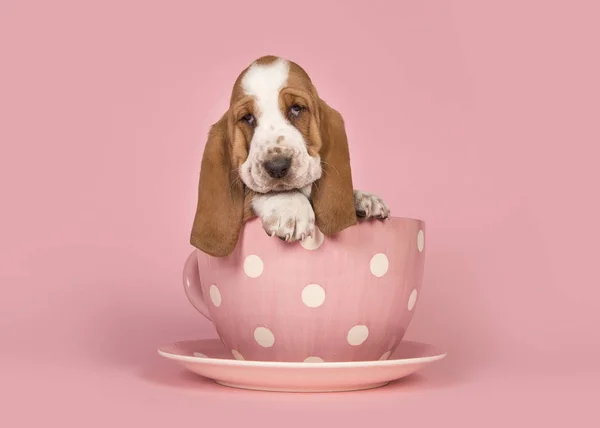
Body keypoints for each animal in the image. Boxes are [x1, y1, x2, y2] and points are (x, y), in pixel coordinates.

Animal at [190, 56, 392, 258]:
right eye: (248, 118)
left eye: (296, 109)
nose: (277, 166)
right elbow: (257, 192)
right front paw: (290, 206)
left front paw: (362, 197)